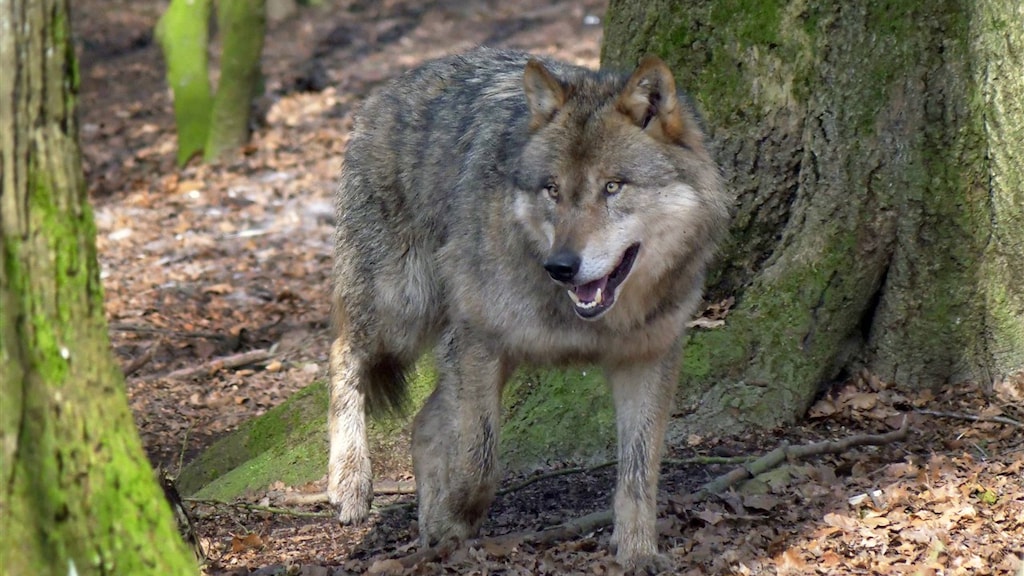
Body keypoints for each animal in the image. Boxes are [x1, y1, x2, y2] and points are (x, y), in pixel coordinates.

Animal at [327, 47, 729, 569]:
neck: (584, 320)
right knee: (341, 351)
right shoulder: (479, 341)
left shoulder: (648, 357)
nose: (561, 266)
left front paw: (639, 554)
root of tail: (386, 90)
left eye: (613, 187)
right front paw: (455, 520)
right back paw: (351, 482)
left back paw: (425, 527)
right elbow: (480, 462)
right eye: (552, 189)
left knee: (422, 424)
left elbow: (639, 475)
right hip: (402, 309)